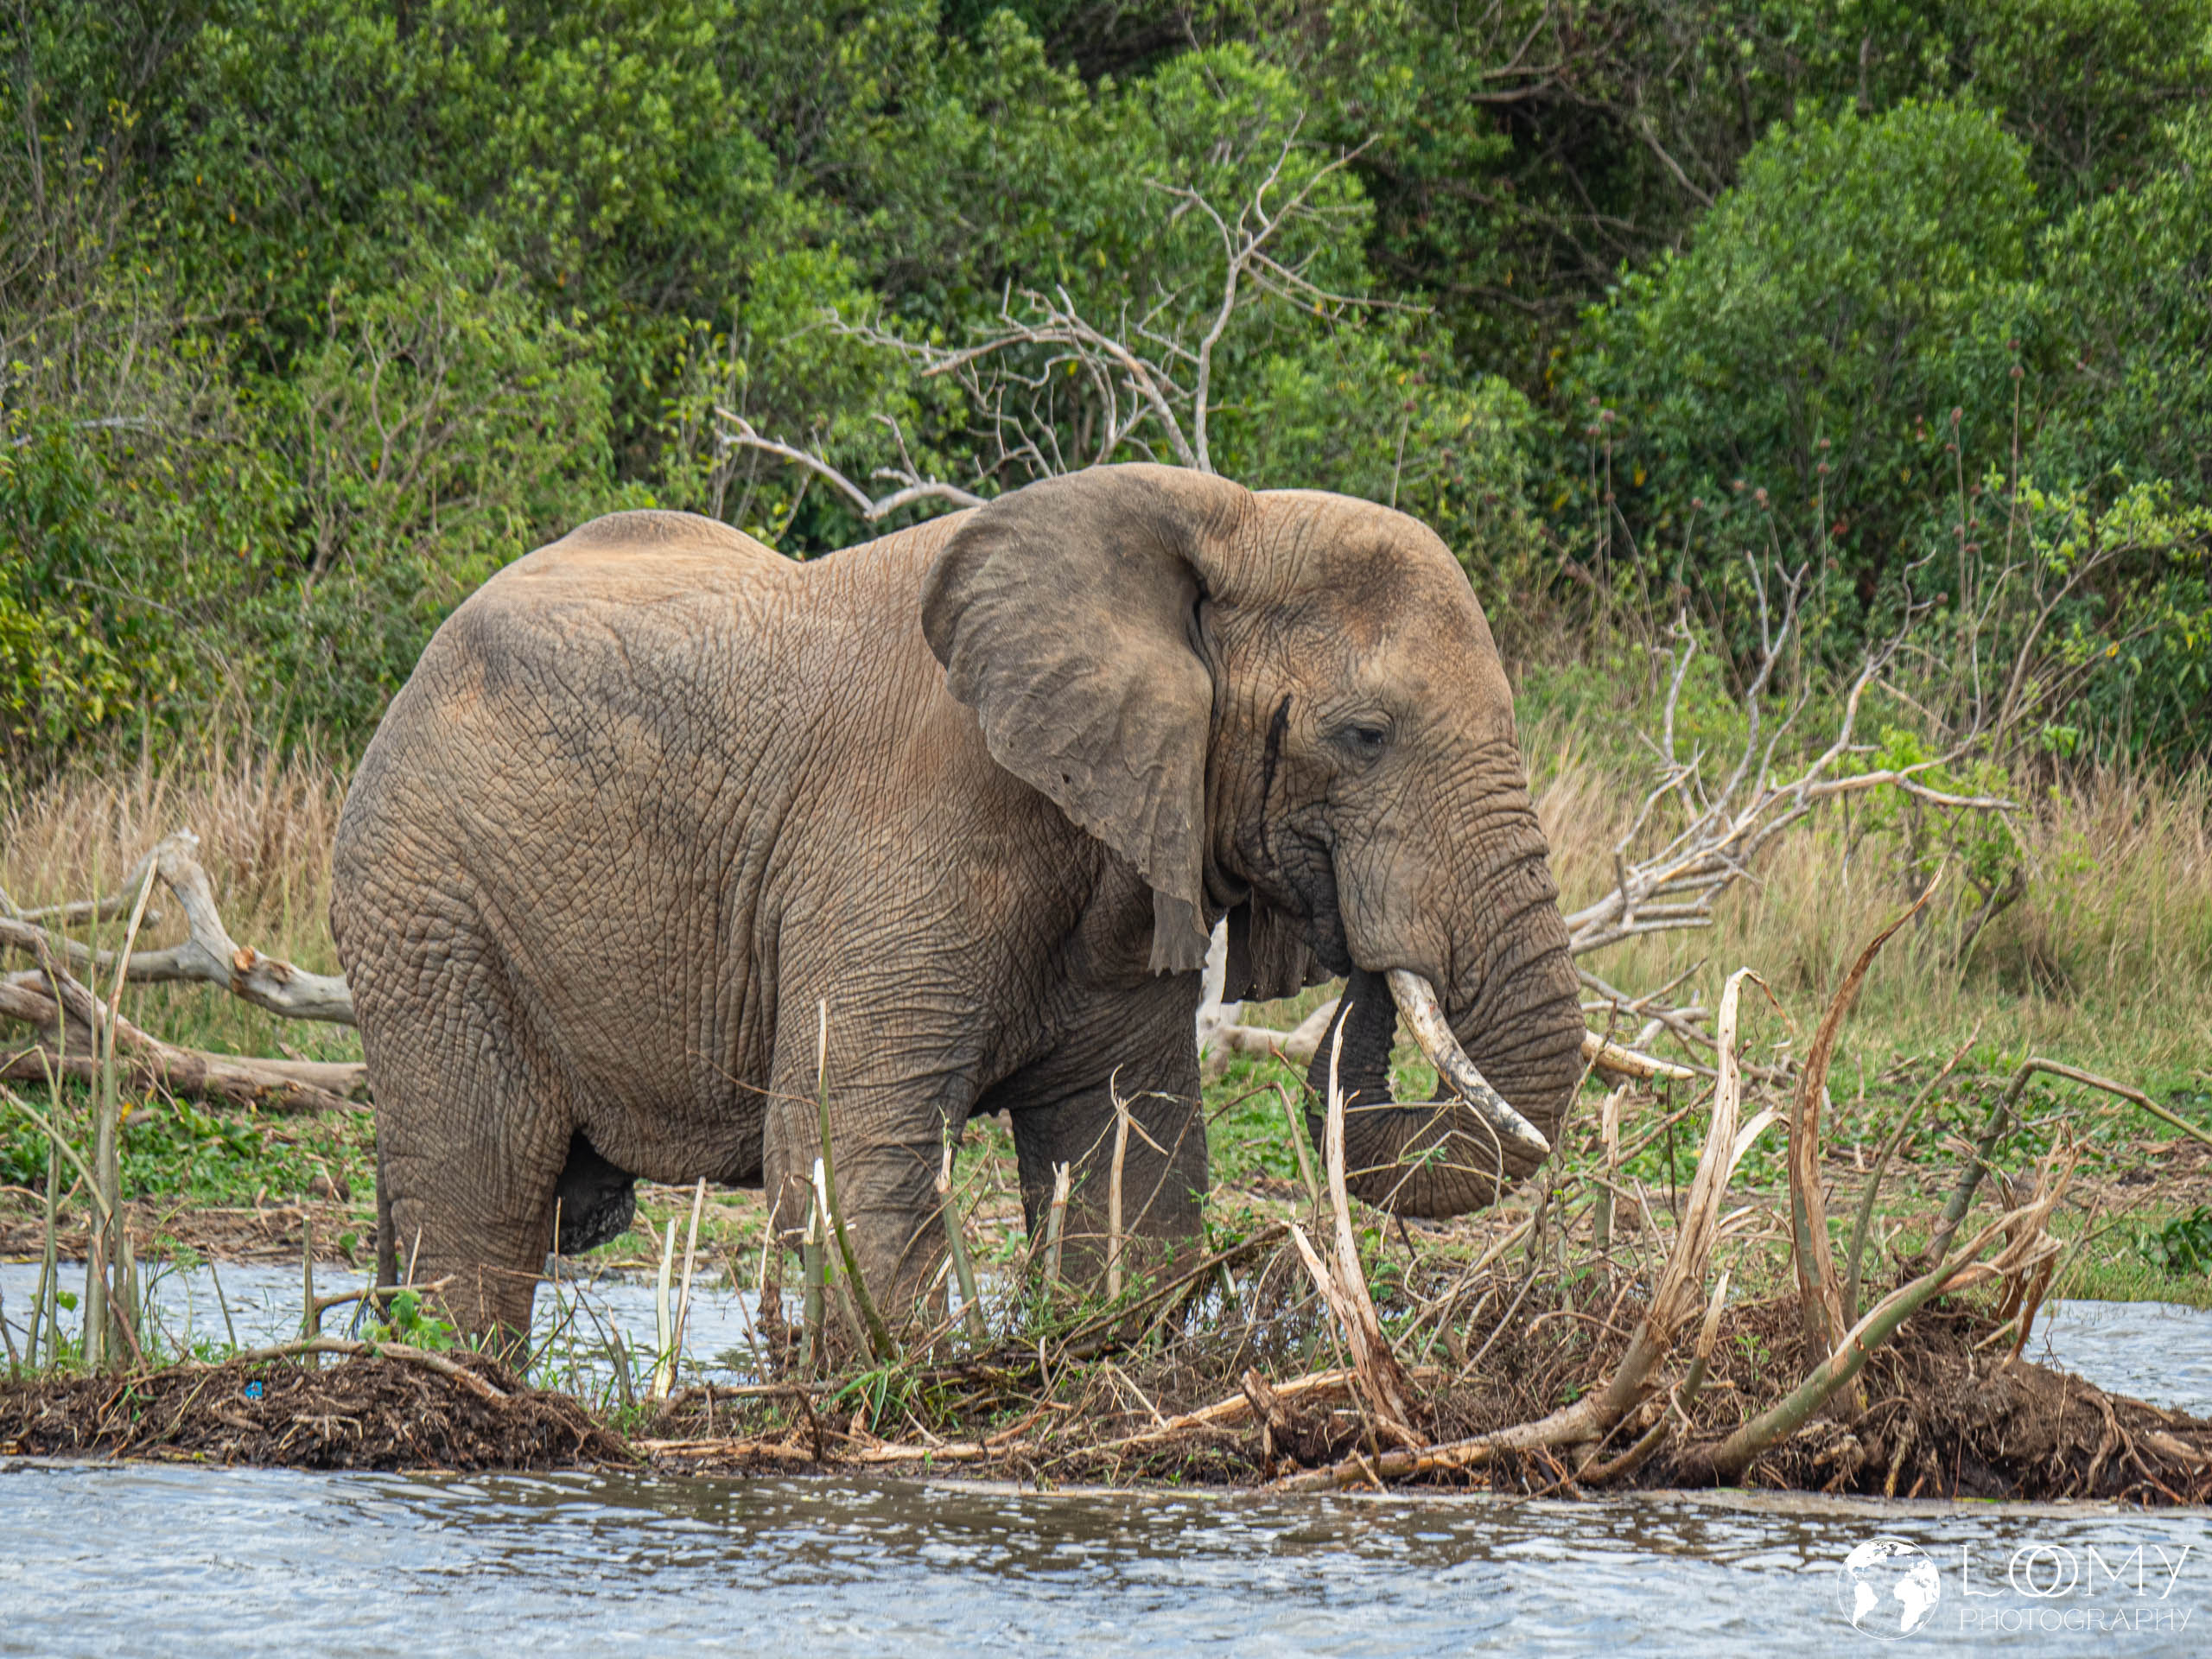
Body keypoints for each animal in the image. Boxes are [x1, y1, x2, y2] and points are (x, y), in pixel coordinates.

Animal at [330, 463, 1588, 1344]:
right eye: (1364, 736)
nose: (1366, 953)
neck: (1222, 514)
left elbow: (1133, 1161)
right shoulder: (908, 831)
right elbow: (850, 1145)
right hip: (427, 907)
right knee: (482, 1201)